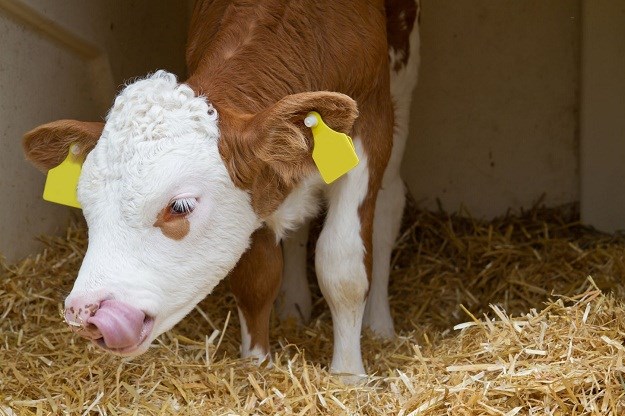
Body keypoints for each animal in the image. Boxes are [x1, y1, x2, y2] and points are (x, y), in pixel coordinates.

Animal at [22, 0, 420, 376]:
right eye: (86, 204)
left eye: (180, 206)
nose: (85, 312)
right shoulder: (258, 190)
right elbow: (256, 277)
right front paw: (257, 364)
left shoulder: (370, 127)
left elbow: (343, 266)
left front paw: (348, 375)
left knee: (388, 205)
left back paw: (379, 326)